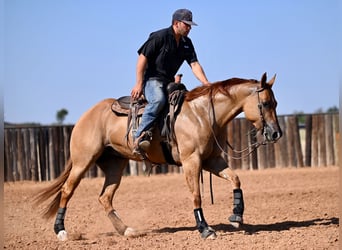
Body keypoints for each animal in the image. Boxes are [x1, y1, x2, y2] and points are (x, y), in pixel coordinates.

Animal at [33, 72, 282, 240]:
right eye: (265, 103)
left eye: (276, 102)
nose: (276, 133)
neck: (202, 114)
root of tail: (86, 115)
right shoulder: (192, 161)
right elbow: (196, 196)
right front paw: (205, 229)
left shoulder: (212, 161)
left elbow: (236, 179)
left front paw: (237, 216)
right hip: (83, 161)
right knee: (67, 190)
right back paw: (61, 231)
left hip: (114, 165)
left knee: (105, 197)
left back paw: (126, 230)